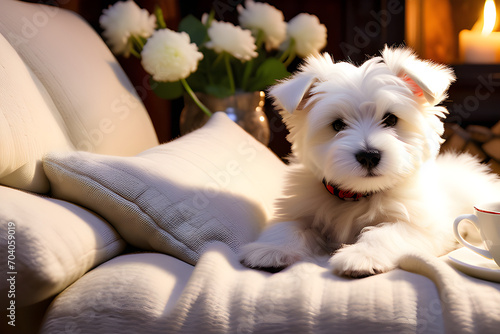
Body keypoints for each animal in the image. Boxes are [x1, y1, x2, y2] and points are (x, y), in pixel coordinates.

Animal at [240, 46, 500, 276]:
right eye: (337, 125)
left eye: (391, 119)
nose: (369, 155)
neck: (356, 195)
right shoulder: (301, 208)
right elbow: (289, 227)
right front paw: (271, 249)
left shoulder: (421, 225)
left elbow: (384, 233)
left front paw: (361, 256)